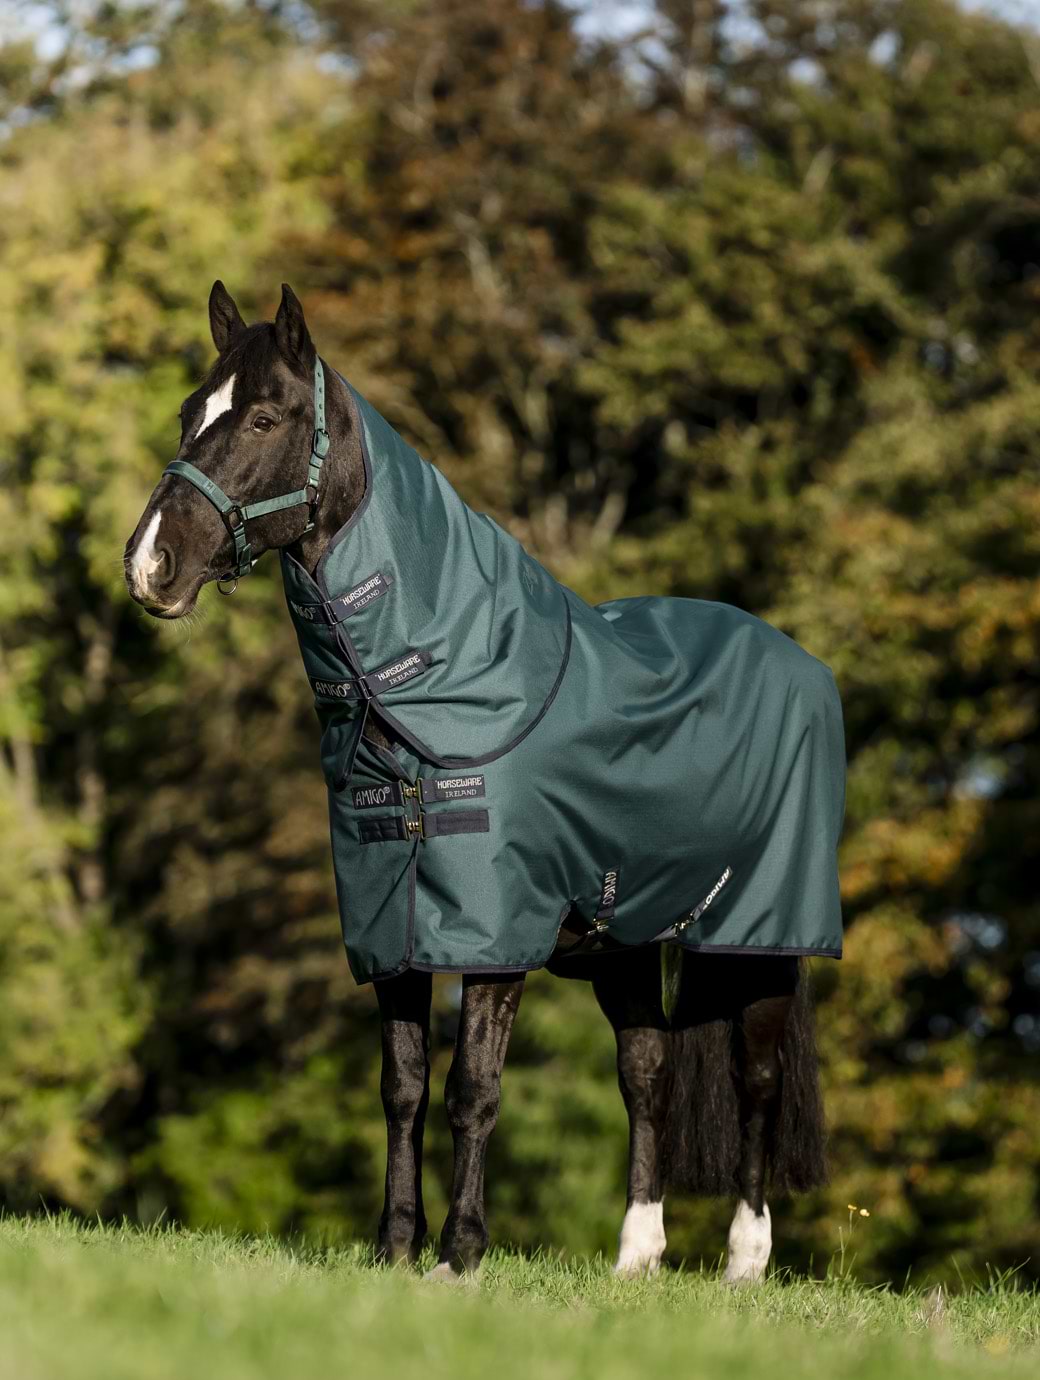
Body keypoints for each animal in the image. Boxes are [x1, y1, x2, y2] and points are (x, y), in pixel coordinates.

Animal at [125, 281, 839, 1283]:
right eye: (192, 413)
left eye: (263, 417)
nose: (150, 564)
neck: (442, 683)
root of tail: (800, 664)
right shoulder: (391, 926)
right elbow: (403, 1087)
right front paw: (393, 1247)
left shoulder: (494, 938)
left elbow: (474, 1088)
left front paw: (460, 1255)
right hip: (622, 939)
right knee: (649, 1071)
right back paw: (636, 1255)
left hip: (759, 938)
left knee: (757, 1077)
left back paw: (745, 1260)